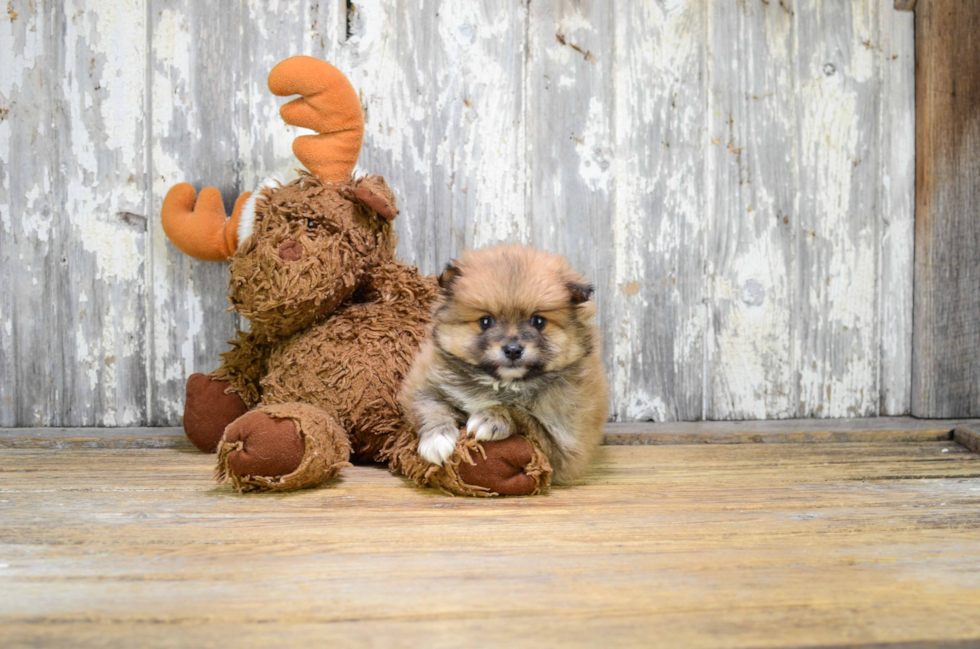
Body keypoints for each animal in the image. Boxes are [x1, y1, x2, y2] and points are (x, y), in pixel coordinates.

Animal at [396, 246, 604, 484]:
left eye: (538, 322)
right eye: (486, 321)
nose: (513, 350)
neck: (503, 383)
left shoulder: (561, 446)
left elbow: (523, 415)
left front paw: (492, 417)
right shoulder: (424, 384)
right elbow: (431, 407)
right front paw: (436, 439)